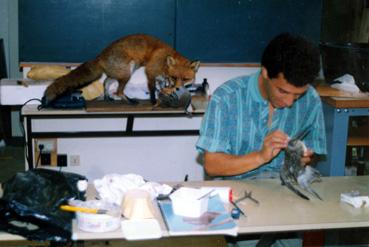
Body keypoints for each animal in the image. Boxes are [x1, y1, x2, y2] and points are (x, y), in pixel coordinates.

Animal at [43, 33, 201, 104]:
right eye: (175, 77)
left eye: (185, 79)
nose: (179, 87)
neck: (163, 64)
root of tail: (100, 56)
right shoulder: (150, 71)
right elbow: (151, 89)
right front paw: (153, 100)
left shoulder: (161, 78)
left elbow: (162, 87)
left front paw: (166, 95)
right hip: (127, 73)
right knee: (118, 91)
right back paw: (129, 101)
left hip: (120, 74)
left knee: (106, 82)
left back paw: (107, 97)